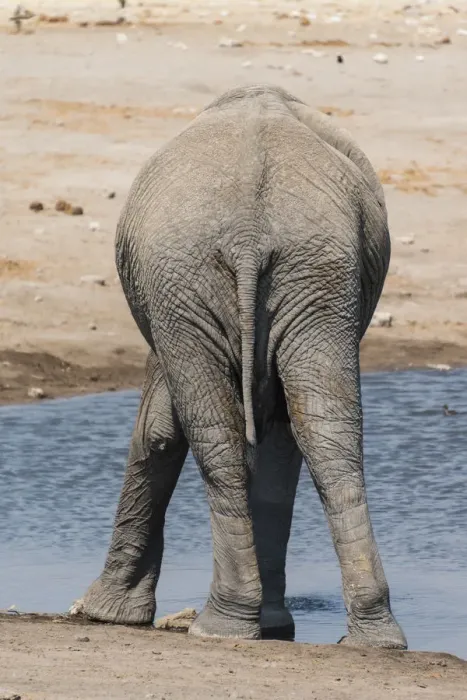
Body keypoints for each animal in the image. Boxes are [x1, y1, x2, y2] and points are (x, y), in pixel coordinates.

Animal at [80, 84, 407, 649]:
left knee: (221, 438)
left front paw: (103, 614)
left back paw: (221, 626)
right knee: (327, 434)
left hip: (198, 278)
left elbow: (160, 430)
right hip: (311, 279)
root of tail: (251, 232)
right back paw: (374, 638)